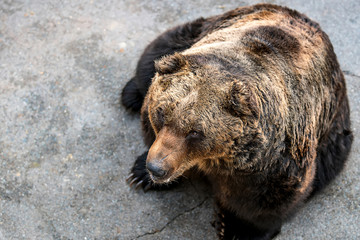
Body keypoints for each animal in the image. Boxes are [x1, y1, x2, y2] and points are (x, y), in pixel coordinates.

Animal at [122, 2, 352, 239]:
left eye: (195, 132)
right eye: (161, 114)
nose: (156, 168)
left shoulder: (275, 163)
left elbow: (267, 202)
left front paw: (236, 228)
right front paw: (140, 174)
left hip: (333, 133)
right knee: (154, 53)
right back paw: (131, 94)